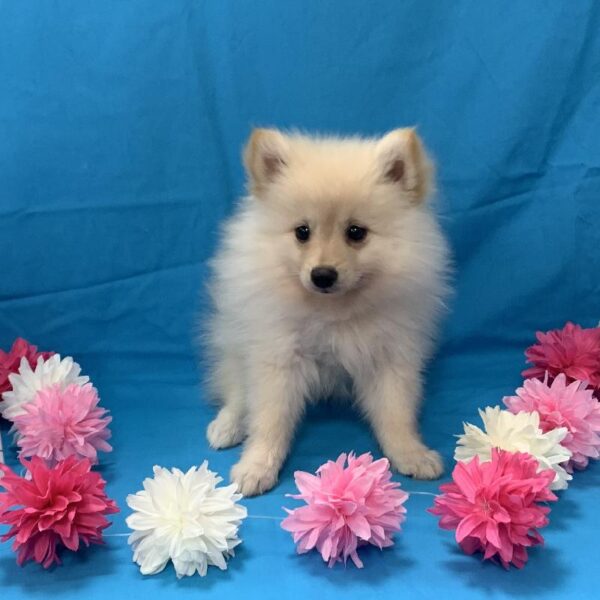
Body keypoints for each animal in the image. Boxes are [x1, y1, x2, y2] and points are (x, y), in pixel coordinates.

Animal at [204, 127, 448, 496]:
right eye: (302, 232)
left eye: (356, 233)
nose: (322, 275)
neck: (333, 313)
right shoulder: (277, 359)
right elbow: (270, 419)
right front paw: (257, 466)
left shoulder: (391, 357)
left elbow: (395, 413)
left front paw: (411, 453)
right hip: (237, 342)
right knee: (237, 391)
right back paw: (227, 425)